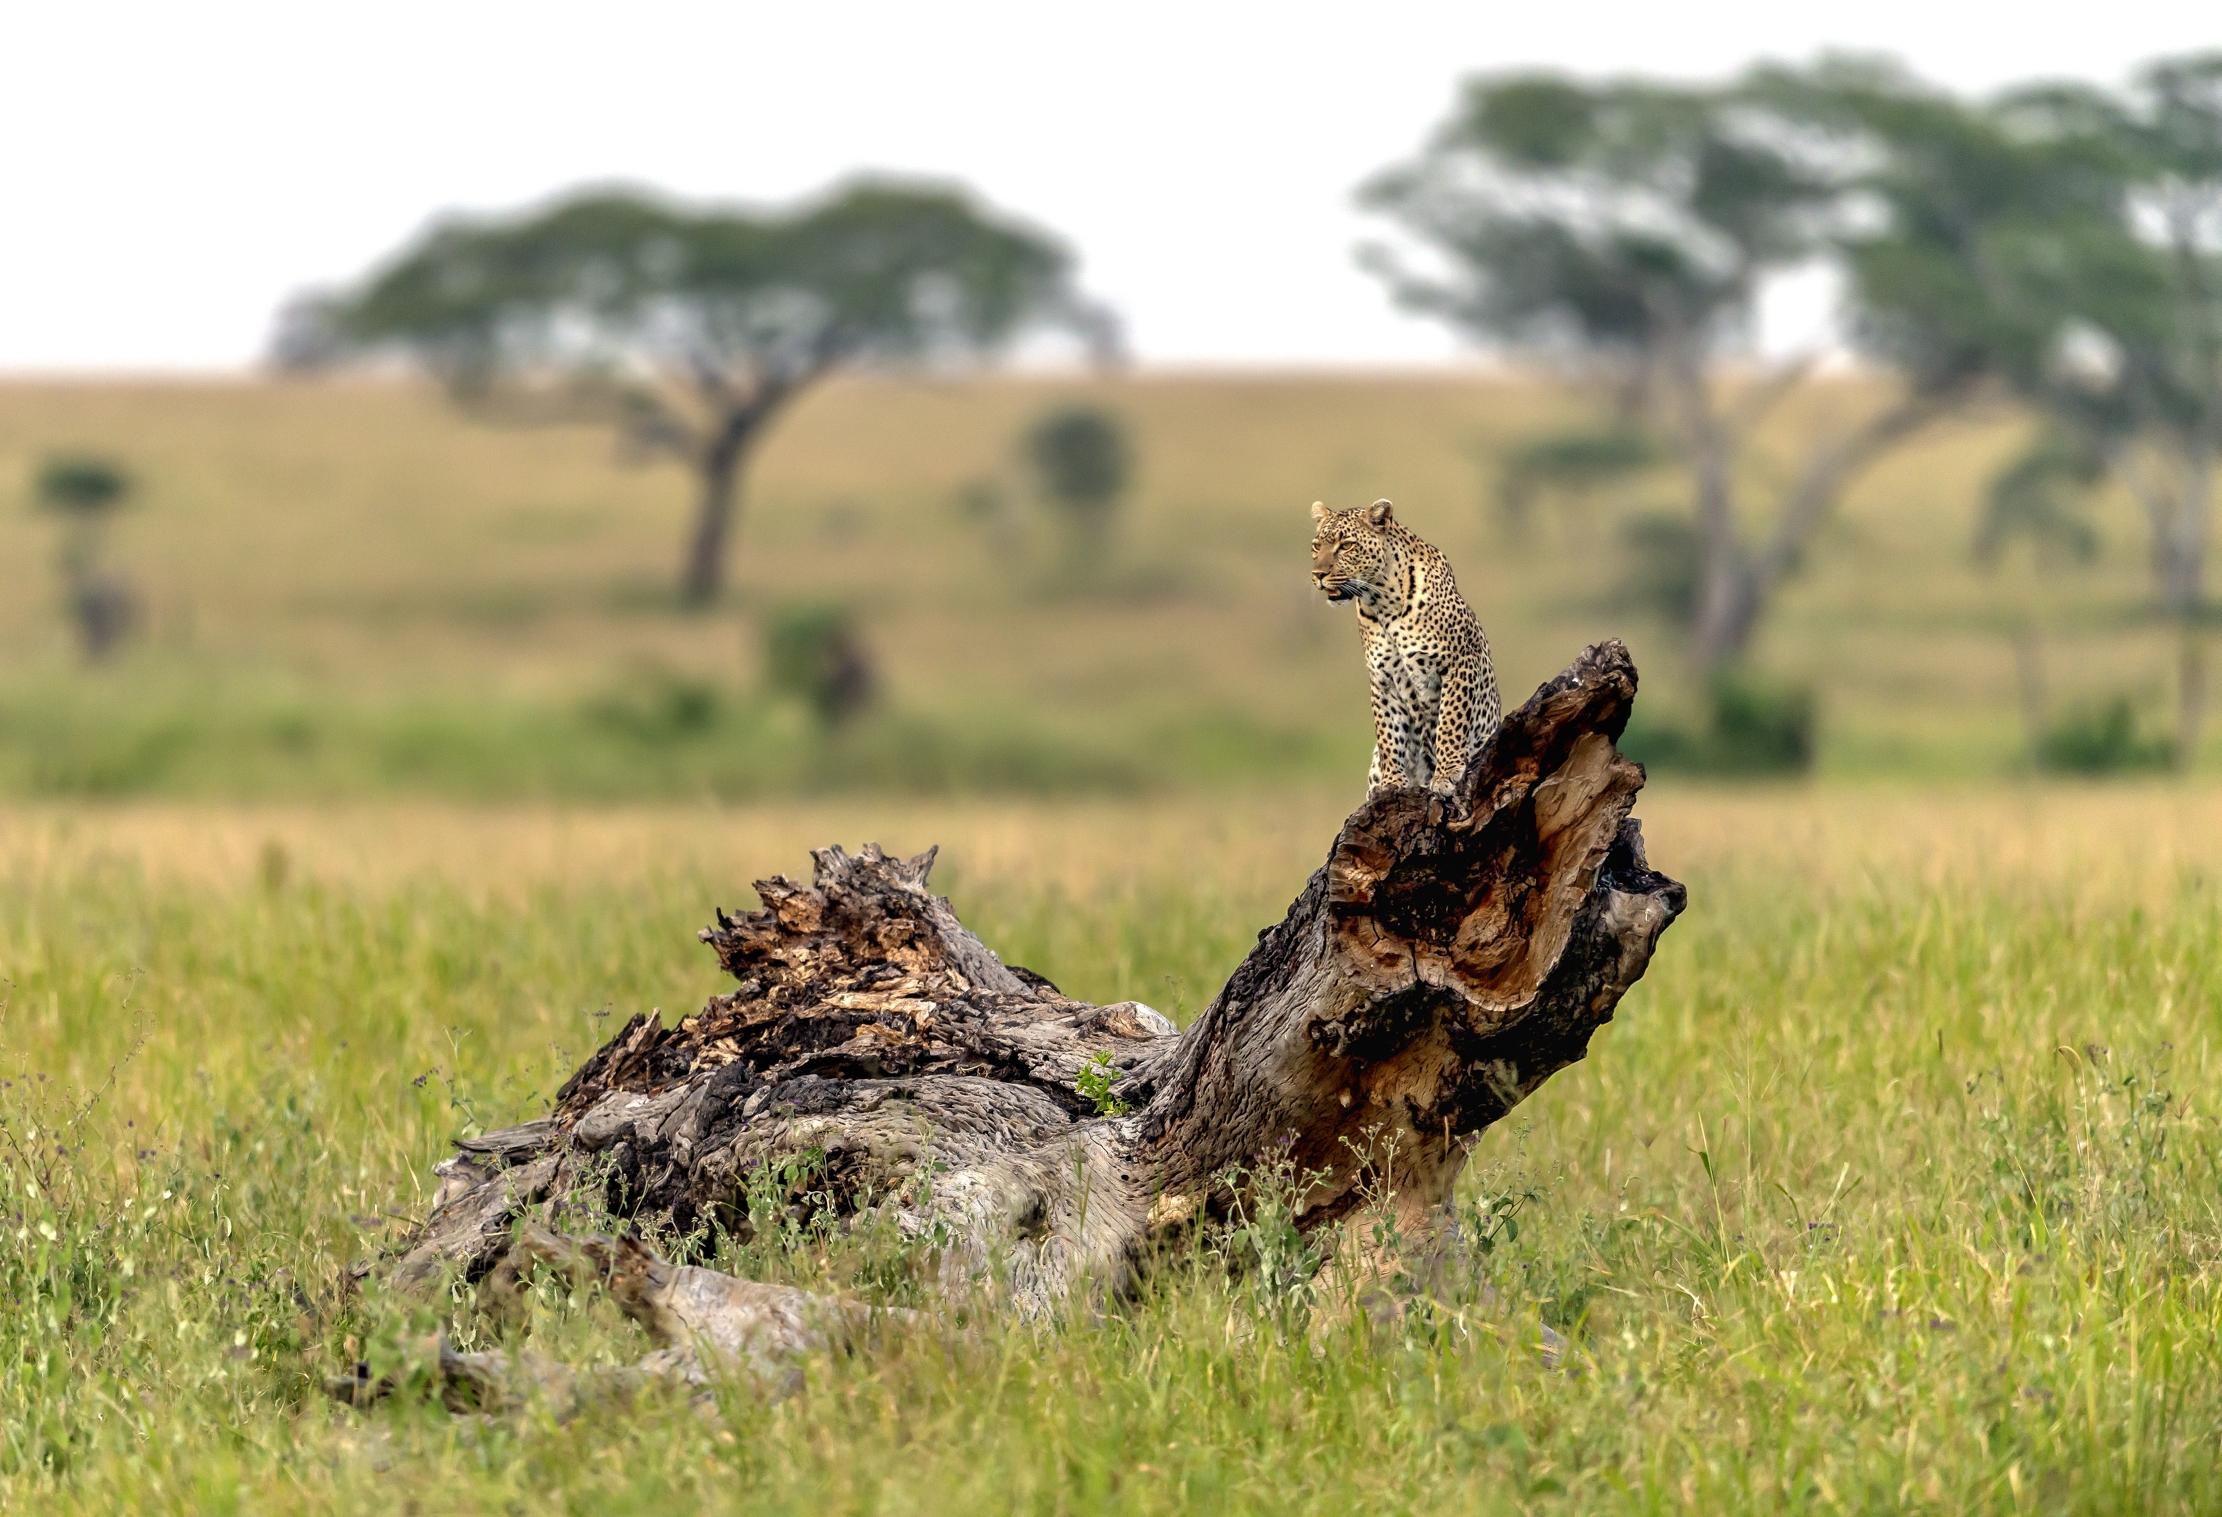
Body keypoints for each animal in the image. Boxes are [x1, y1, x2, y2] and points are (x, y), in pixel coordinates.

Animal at [1309, 497, 1502, 801]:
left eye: (1347, 545)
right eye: (1317, 546)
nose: (1318, 574)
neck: (1381, 601)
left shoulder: (1460, 661)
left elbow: (1451, 719)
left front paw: (1447, 772)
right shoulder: (1383, 678)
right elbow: (1388, 732)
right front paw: (1392, 783)